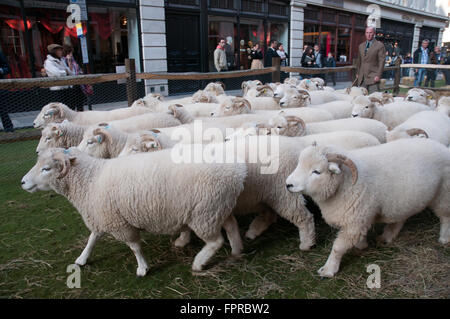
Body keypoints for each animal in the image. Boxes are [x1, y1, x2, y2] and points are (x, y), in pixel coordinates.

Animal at [22, 148, 246, 276]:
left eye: (46, 168)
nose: (23, 182)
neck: (90, 179)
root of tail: (238, 171)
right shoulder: (101, 216)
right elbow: (92, 238)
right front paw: (82, 259)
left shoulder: (119, 223)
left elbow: (135, 247)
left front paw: (142, 268)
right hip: (218, 207)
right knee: (232, 226)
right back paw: (237, 251)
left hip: (204, 213)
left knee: (215, 241)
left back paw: (198, 264)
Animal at [284, 140, 450, 278]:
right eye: (299, 164)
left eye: (316, 171)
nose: (288, 184)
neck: (344, 184)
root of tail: (442, 146)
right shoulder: (360, 219)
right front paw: (362, 245)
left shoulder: (355, 221)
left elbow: (337, 248)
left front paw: (328, 270)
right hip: (404, 200)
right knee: (400, 218)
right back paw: (386, 237)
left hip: (443, 194)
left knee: (445, 217)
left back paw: (444, 238)